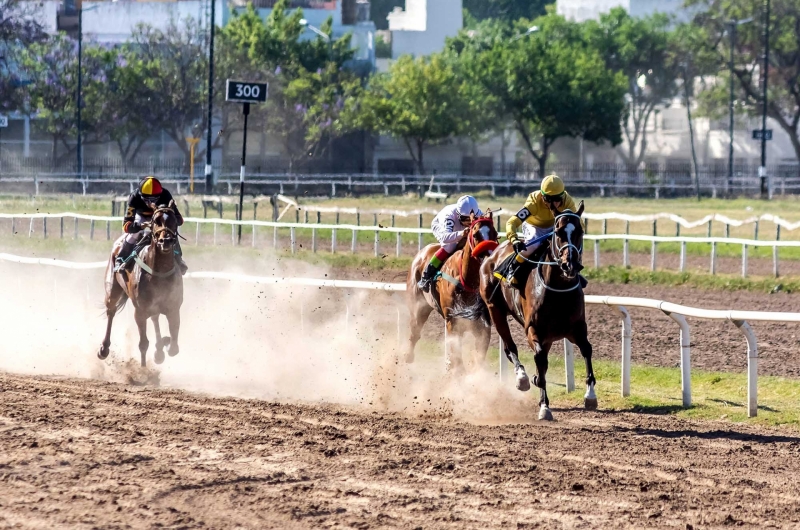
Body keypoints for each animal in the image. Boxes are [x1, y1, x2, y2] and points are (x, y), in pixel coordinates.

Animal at [97, 202, 184, 368]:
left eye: (174, 220)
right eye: (156, 221)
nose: (166, 241)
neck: (159, 272)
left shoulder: (173, 308)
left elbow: (174, 347)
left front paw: (162, 346)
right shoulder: (140, 311)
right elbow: (143, 344)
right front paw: (143, 370)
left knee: (155, 318)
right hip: (112, 289)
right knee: (111, 311)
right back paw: (104, 349)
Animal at [410, 213, 496, 372]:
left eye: (495, 234)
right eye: (475, 235)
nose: (489, 260)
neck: (468, 282)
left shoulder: (483, 327)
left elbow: (478, 359)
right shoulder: (452, 321)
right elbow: (458, 361)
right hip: (418, 307)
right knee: (415, 331)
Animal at [476, 203, 592, 420]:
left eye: (580, 231)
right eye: (558, 232)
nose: (570, 265)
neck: (559, 291)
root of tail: (492, 254)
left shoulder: (576, 328)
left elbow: (587, 349)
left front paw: (590, 394)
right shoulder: (534, 329)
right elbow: (539, 358)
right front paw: (544, 406)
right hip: (495, 310)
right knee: (510, 347)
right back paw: (522, 377)